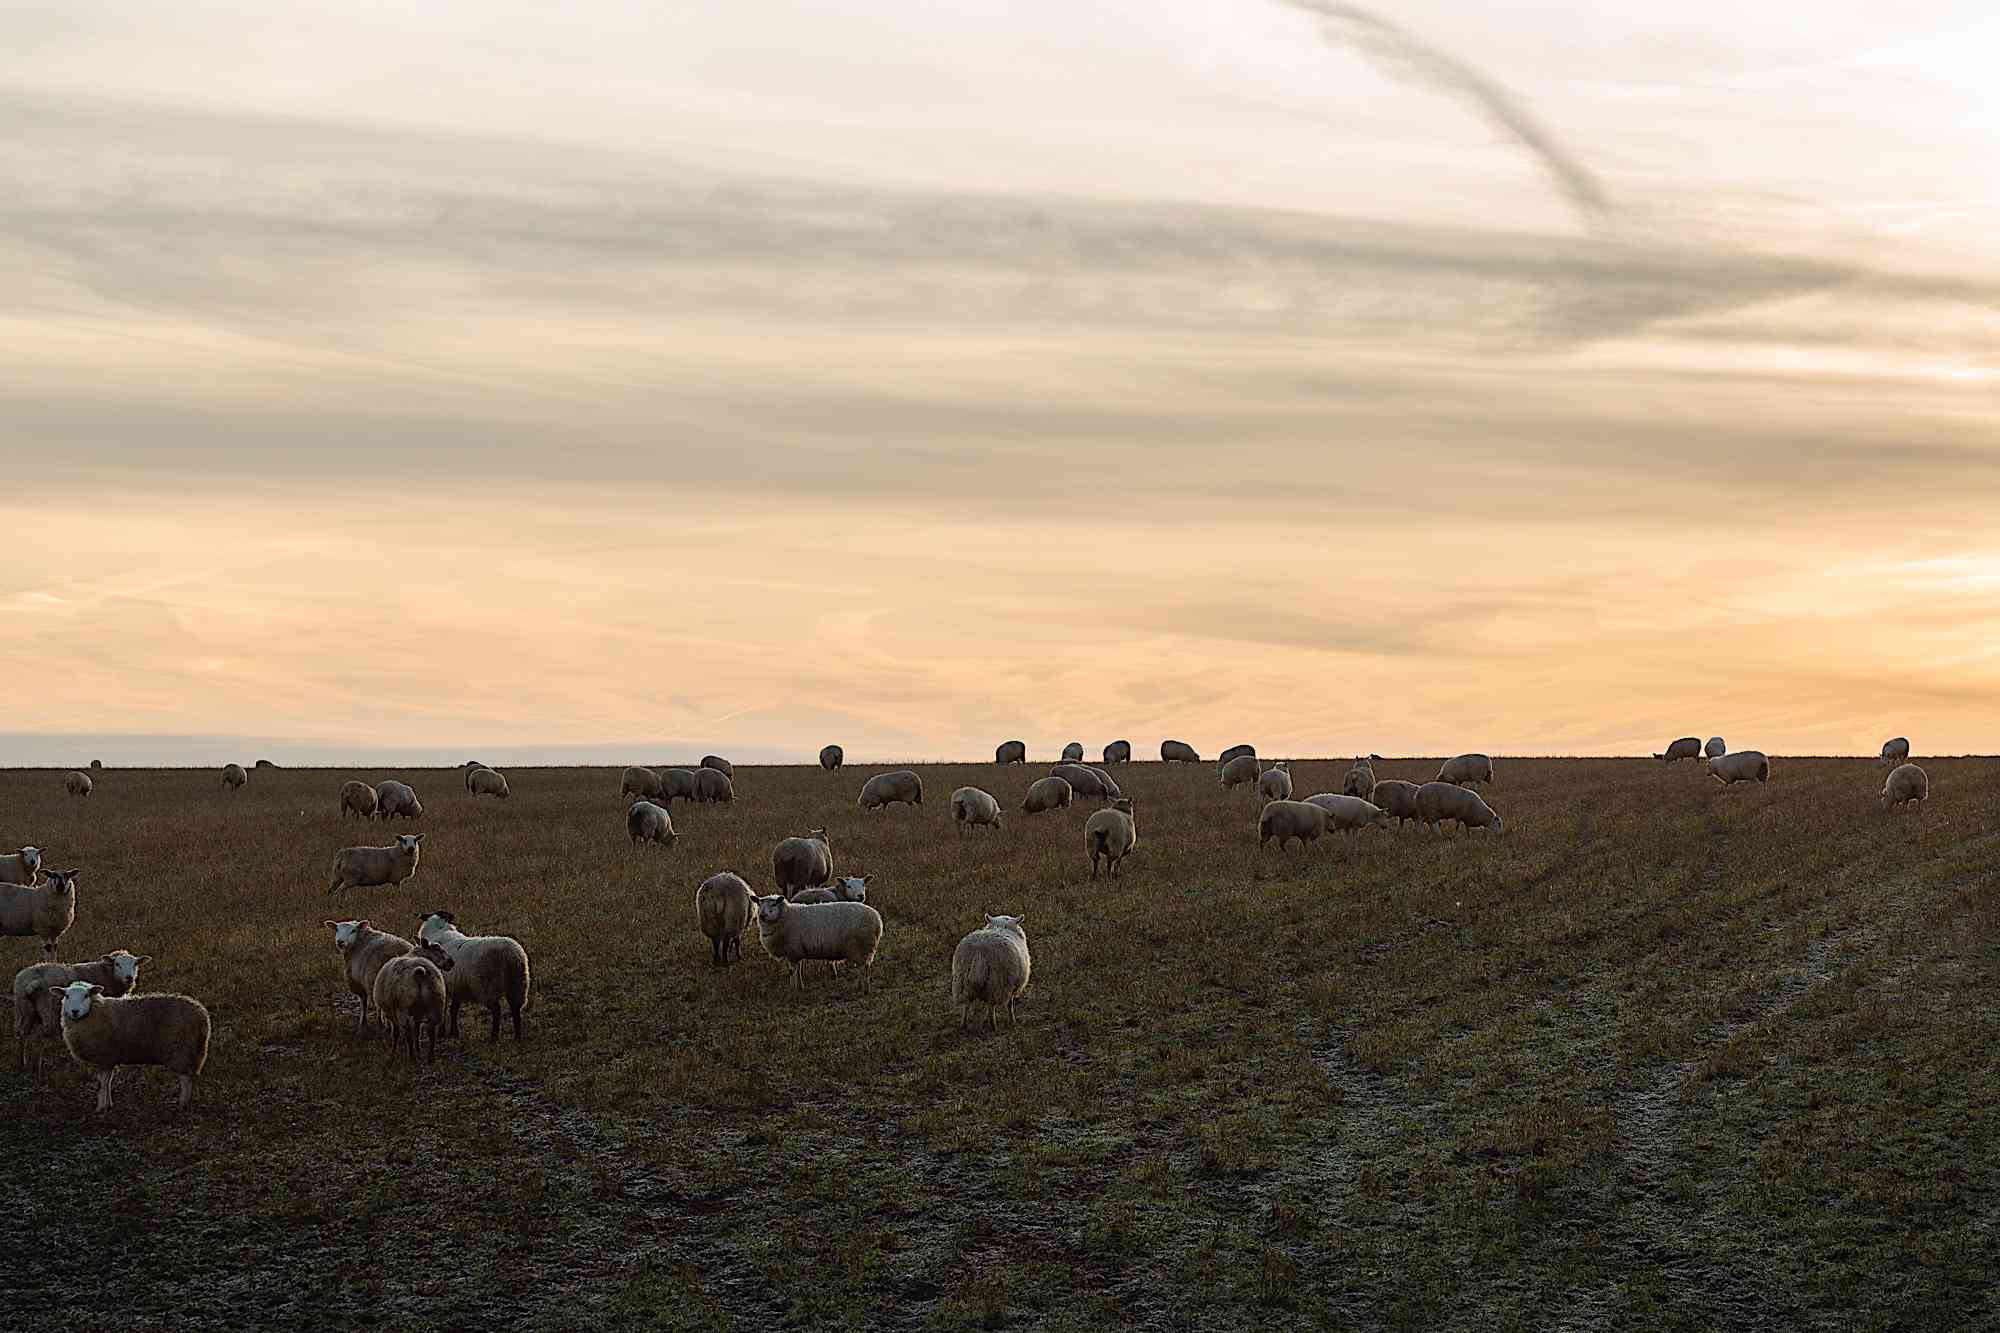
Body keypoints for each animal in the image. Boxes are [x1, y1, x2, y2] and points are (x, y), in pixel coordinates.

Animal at [13, 948, 145, 1072]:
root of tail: (32, 981)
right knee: (44, 1034)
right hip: (47, 1008)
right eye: (117, 964)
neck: (106, 974)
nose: (129, 978)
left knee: (21, 1033)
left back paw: (22, 1063)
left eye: (135, 964)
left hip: (24, 1009)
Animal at [51, 976, 210, 1112]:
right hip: (191, 1051)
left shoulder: (104, 1056)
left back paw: (182, 1104)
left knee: (185, 1078)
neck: (96, 1011)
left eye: (86, 996)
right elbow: (108, 1081)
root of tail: (202, 1014)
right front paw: (108, 1104)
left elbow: (103, 1082)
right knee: (189, 1076)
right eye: (67, 996)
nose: (75, 1011)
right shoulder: (109, 1057)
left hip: (180, 1050)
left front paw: (101, 1107)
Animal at [414, 908, 532, 1040]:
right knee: (516, 1009)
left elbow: (445, 1010)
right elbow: (453, 1009)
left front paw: (442, 1033)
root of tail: (511, 955)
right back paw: (517, 1037)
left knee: (497, 1011)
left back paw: (494, 1037)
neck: (439, 931)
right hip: (518, 985)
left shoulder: (445, 987)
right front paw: (454, 1033)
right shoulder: (457, 987)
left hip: (488, 987)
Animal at [752, 892, 880, 984]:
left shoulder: (792, 952)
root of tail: (877, 919)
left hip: (861, 948)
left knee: (864, 970)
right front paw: (800, 987)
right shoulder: (797, 953)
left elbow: (792, 972)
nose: (762, 916)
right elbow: (798, 971)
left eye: (773, 904)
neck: (786, 916)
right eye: (759, 904)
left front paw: (793, 989)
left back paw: (864, 988)